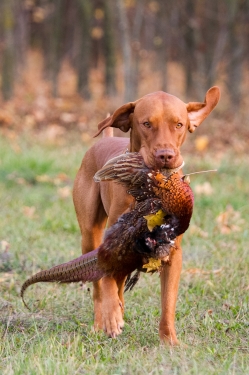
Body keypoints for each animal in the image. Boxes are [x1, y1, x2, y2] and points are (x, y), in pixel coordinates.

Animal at [73, 86, 221, 346]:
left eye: (179, 124)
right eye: (146, 124)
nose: (165, 155)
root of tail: (106, 138)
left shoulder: (172, 252)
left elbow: (168, 301)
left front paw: (169, 340)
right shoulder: (113, 240)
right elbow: (106, 280)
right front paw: (111, 317)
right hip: (89, 234)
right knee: (100, 285)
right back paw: (102, 320)